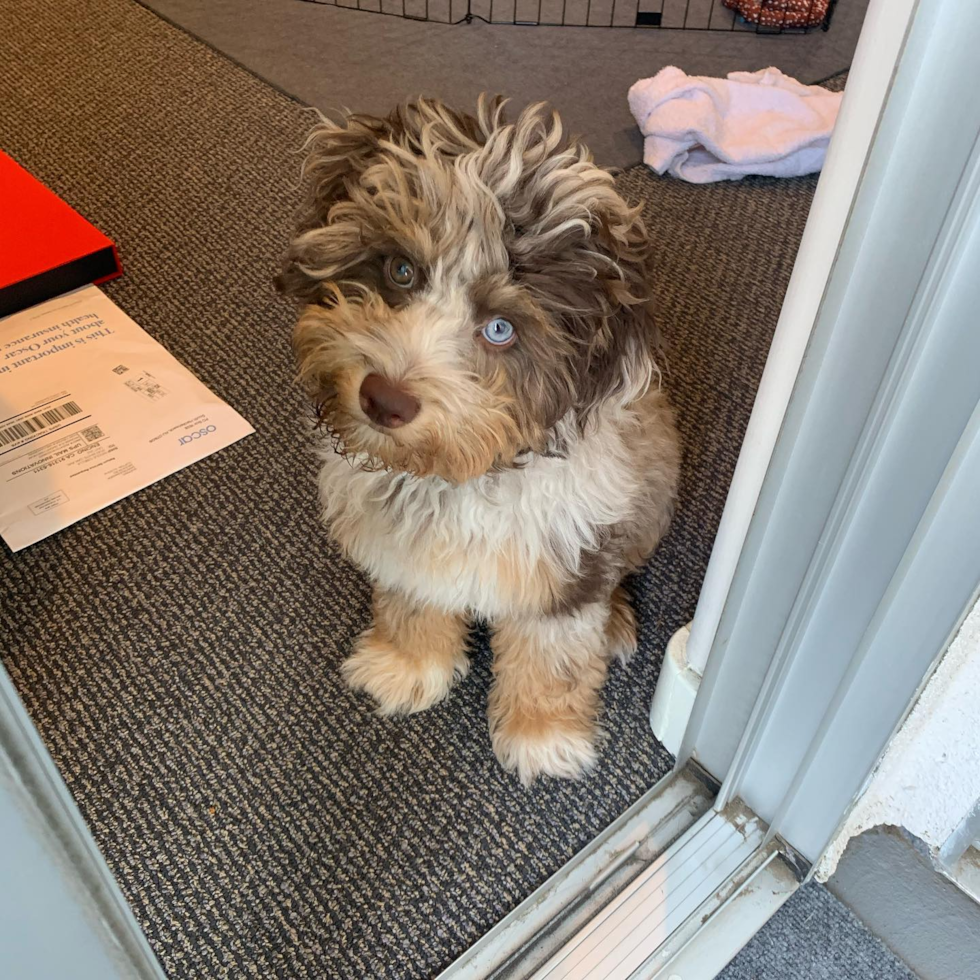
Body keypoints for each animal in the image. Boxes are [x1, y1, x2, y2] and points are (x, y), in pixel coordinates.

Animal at [278, 95, 680, 784]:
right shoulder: (401, 544)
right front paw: (406, 667)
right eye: (401, 269)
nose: (384, 398)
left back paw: (618, 621)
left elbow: (553, 653)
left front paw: (543, 736)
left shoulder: (566, 561)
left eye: (499, 328)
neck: (459, 475)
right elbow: (412, 602)